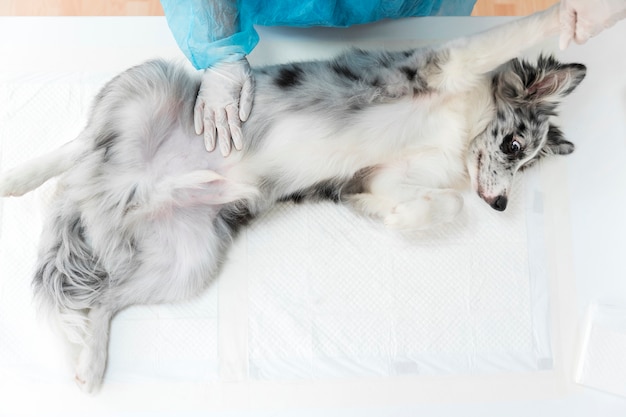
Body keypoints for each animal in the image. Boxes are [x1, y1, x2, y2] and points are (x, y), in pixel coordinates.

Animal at [0, 4, 584, 392]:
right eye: (514, 145)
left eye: (528, 166)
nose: (502, 206)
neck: (458, 130)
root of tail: (112, 191)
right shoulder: (443, 63)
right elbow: (506, 36)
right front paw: (567, 18)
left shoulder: (382, 177)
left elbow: (438, 203)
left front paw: (398, 218)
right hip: (150, 83)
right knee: (81, 143)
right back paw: (22, 176)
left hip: (187, 261)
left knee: (104, 298)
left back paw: (91, 361)